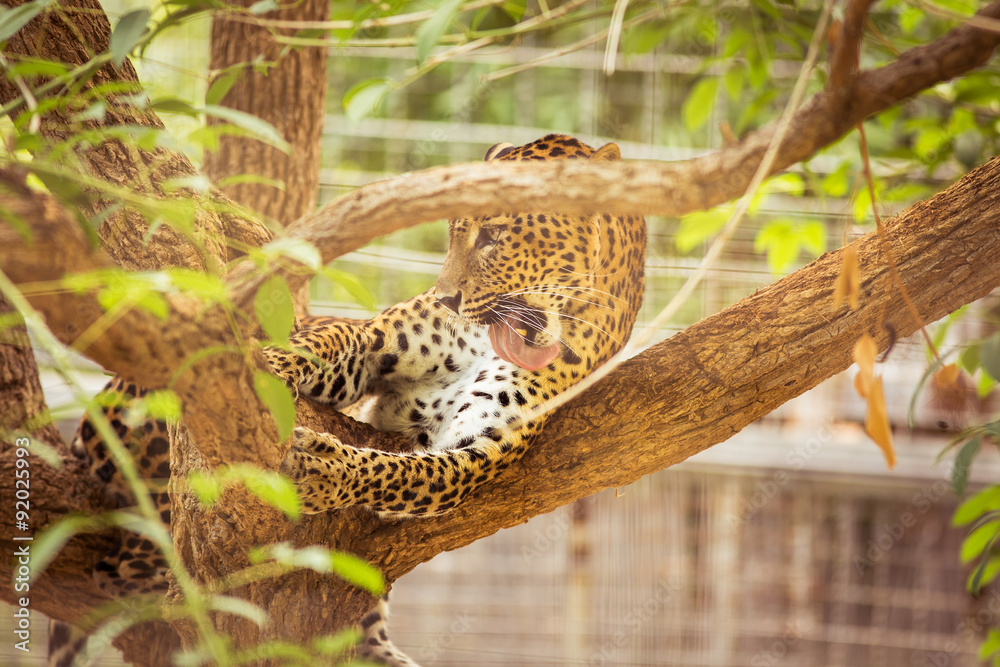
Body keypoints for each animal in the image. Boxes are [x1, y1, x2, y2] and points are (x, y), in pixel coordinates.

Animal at [49, 134, 646, 667]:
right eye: (455, 235)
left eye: (495, 236)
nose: (448, 298)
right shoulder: (376, 340)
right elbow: (327, 340)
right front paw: (273, 368)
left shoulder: (480, 449)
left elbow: (404, 472)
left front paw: (319, 469)